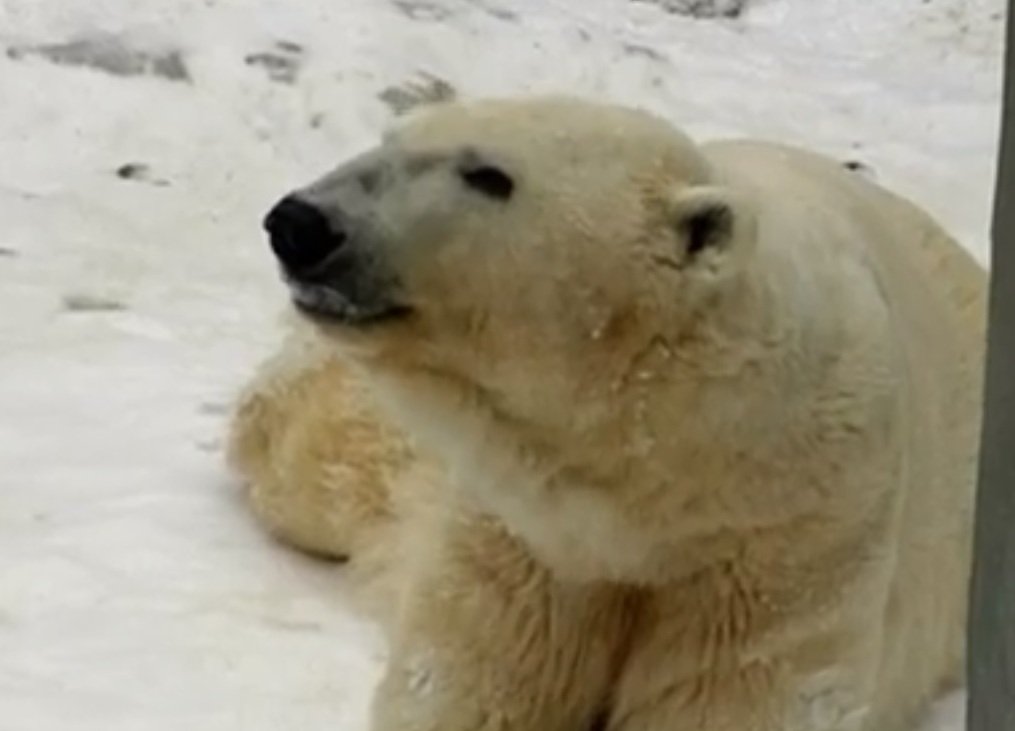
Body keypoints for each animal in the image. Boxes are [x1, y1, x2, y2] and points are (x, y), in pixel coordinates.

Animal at [226, 96, 986, 731]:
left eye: (489, 175)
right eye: (390, 139)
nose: (300, 223)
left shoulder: (792, 532)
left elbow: (732, 700)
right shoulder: (523, 527)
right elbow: (474, 682)